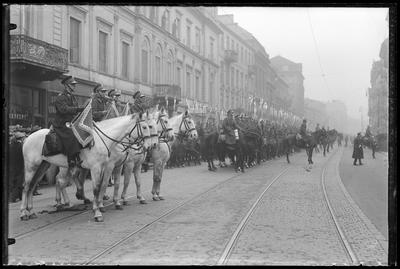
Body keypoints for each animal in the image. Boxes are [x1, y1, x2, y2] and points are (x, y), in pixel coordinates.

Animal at [19, 112, 150, 220]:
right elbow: (97, 188)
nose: (148, 146)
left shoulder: (104, 166)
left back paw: (31, 211)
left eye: (150, 126)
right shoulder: (97, 167)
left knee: (33, 186)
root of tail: (27, 138)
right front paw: (97, 212)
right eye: (145, 127)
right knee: (27, 186)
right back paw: (24, 213)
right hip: (32, 167)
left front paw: (99, 205)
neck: (102, 140)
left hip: (43, 166)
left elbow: (102, 185)